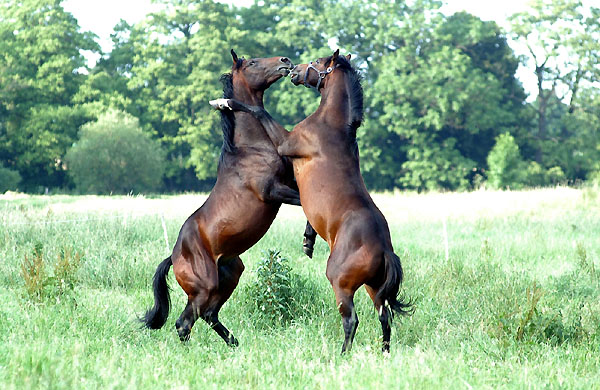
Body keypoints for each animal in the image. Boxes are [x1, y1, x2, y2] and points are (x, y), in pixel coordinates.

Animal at [142, 50, 316, 346]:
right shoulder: (273, 191)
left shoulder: (289, 183)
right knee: (184, 322)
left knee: (208, 315)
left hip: (231, 274)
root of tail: (174, 257)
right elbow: (306, 203)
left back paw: (234, 344)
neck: (250, 148)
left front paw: (309, 240)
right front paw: (308, 242)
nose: (285, 61)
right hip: (205, 286)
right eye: (253, 63)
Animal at [211, 49, 412, 354]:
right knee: (384, 317)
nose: (291, 67)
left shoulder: (286, 143)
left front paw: (225, 102)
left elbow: (259, 111)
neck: (332, 126)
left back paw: (342, 355)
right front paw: (307, 241)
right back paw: (384, 353)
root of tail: (384, 250)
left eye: (318, 62)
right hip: (374, 287)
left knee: (352, 320)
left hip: (341, 283)